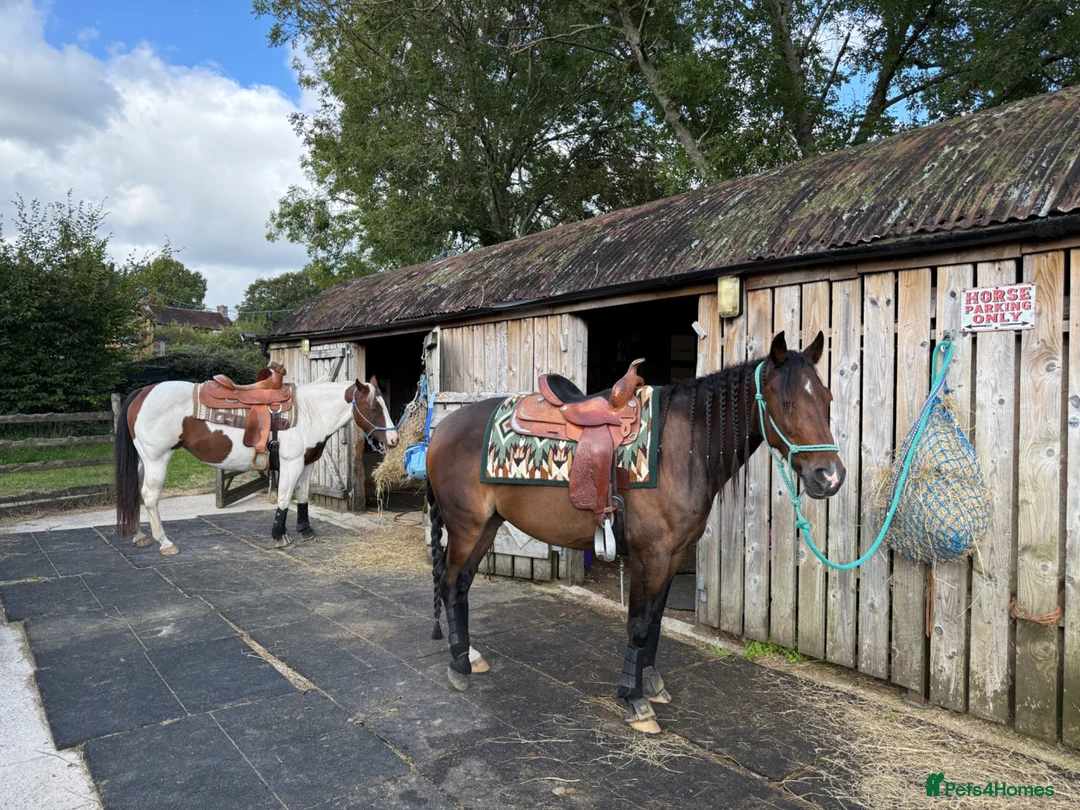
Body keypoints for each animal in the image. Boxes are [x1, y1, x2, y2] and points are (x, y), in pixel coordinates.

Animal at [114, 376, 398, 554]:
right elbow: (284, 498)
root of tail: (144, 391)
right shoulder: (291, 464)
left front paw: (305, 531)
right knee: (150, 496)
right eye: (373, 408)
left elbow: (303, 496)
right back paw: (165, 542)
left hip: (144, 460)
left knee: (136, 492)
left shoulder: (307, 464)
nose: (394, 439)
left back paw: (139, 535)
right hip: (157, 459)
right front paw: (279, 536)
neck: (310, 413)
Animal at [426, 331, 845, 733]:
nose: (830, 477)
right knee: (449, 582)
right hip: (465, 527)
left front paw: (651, 683)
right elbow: (640, 624)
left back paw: (469, 655)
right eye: (786, 403)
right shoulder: (651, 555)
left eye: (827, 398)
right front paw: (634, 700)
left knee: (462, 583)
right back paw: (459, 665)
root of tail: (441, 430)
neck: (681, 448)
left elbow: (656, 620)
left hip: (488, 526)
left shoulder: (673, 556)